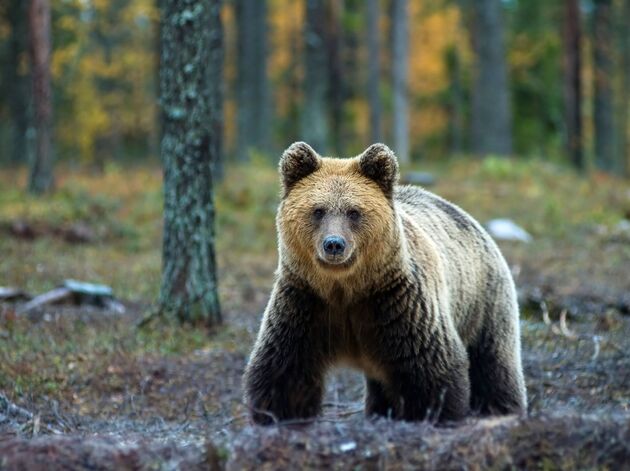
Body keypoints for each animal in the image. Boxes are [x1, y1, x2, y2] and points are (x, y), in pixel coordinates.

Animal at [242, 142, 528, 426]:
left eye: (354, 212)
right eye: (318, 210)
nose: (334, 244)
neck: (345, 288)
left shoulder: (398, 304)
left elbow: (431, 370)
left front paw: (435, 415)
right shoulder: (306, 303)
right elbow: (285, 369)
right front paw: (278, 415)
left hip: (484, 300)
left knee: (493, 363)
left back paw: (501, 409)